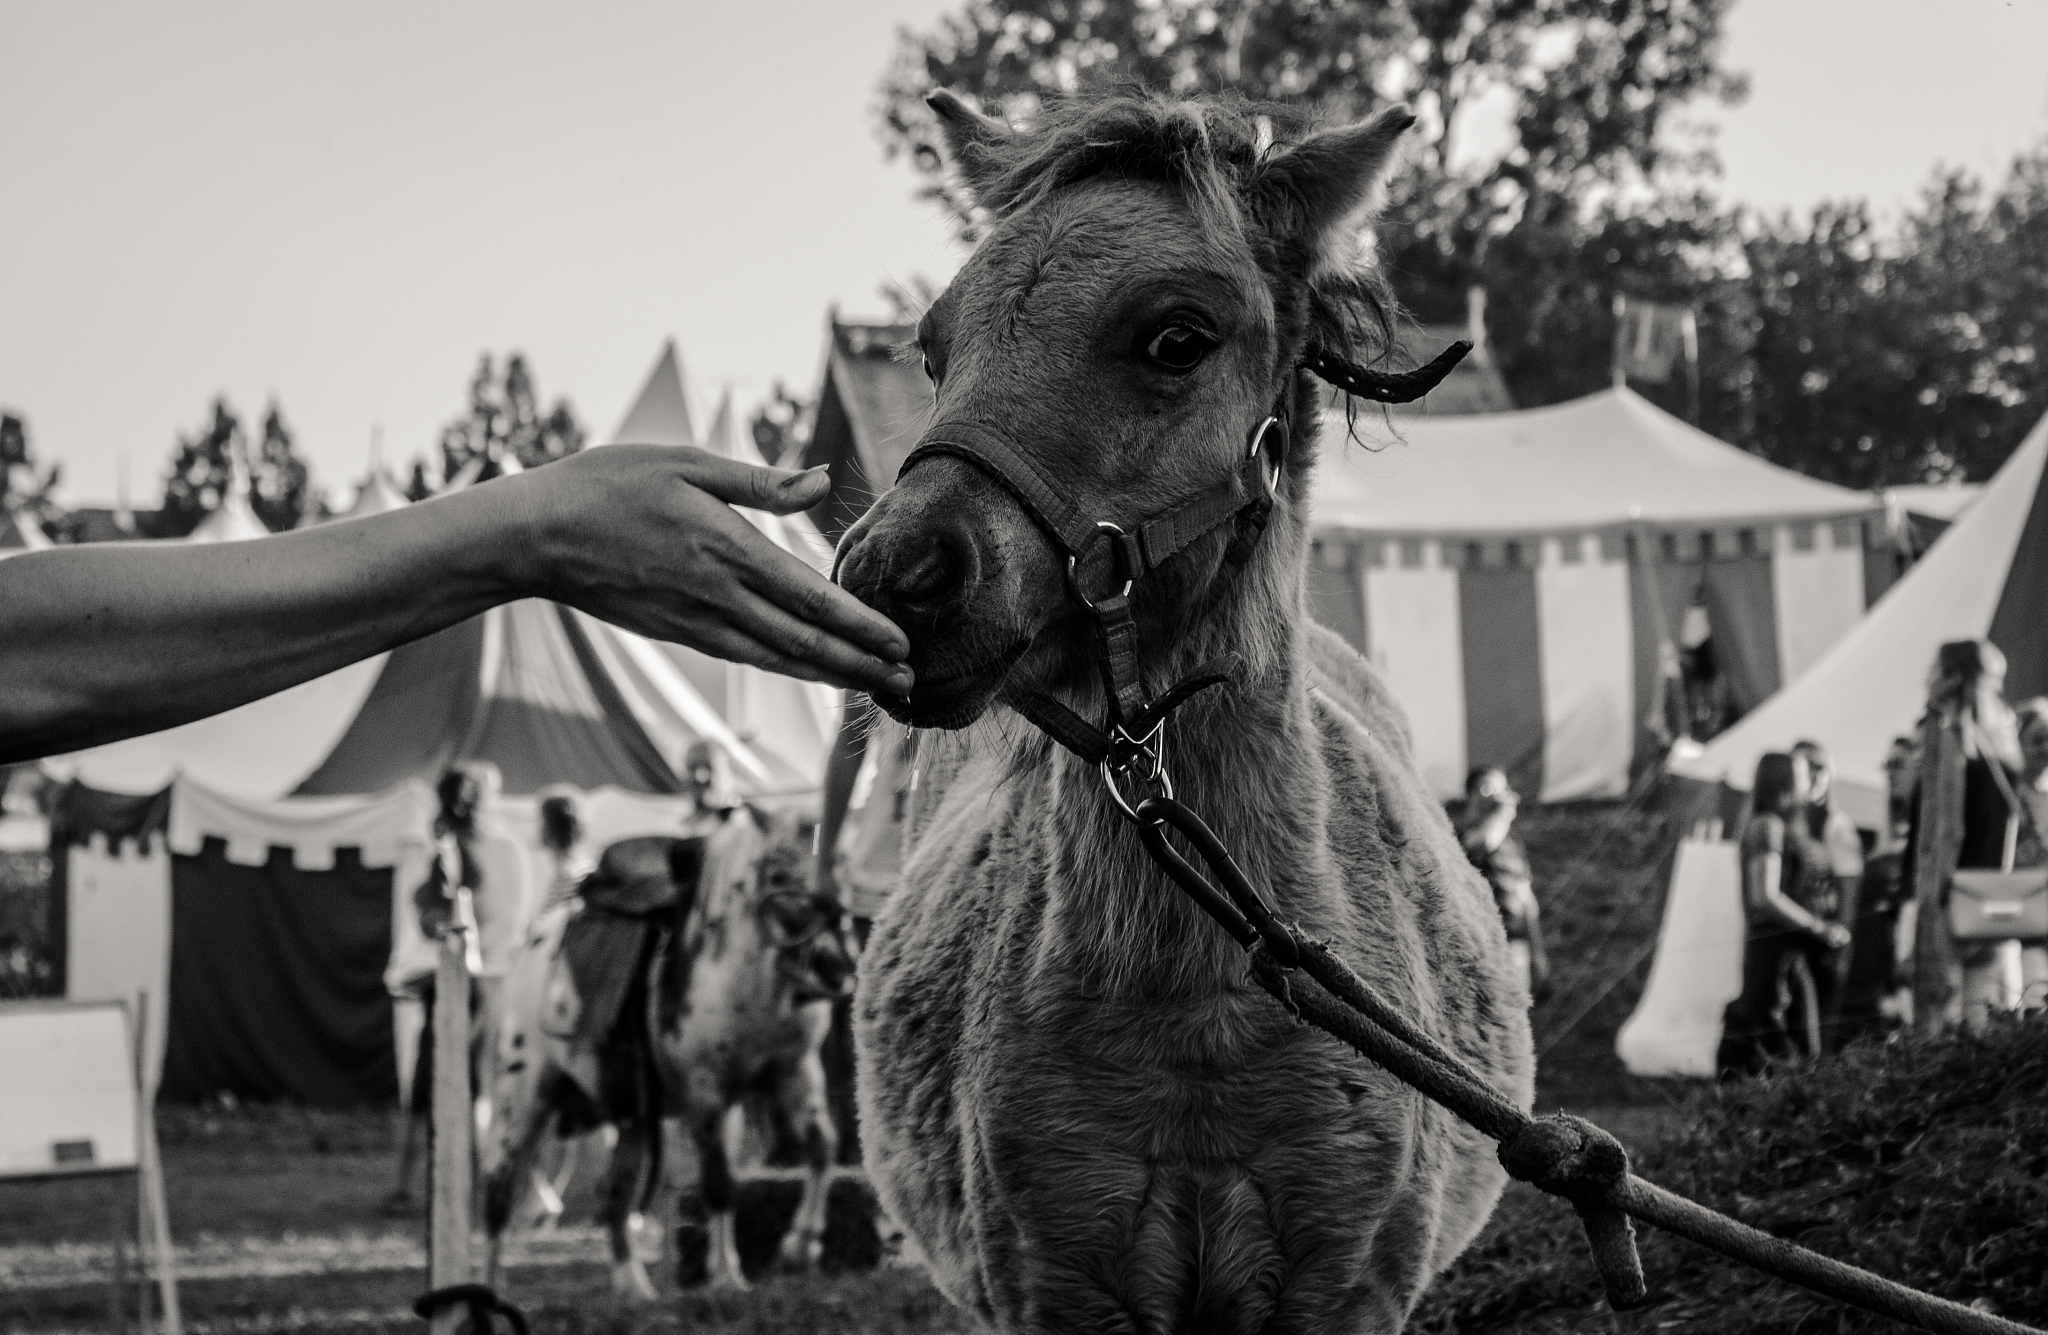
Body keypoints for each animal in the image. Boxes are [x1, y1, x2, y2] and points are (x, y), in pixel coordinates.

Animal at [481, 808, 855, 1300]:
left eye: (837, 870)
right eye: (777, 875)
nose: (836, 967)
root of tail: (532, 944)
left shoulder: (795, 1074)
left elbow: (822, 1149)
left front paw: (801, 1247)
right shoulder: (707, 1093)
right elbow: (719, 1182)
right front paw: (727, 1276)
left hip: (634, 1116)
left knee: (615, 1194)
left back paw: (635, 1287)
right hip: (523, 1095)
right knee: (499, 1188)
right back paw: (489, 1288)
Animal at [836, 90, 1535, 1334]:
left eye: (1175, 337)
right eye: (933, 347)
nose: (890, 576)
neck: (1198, 1014)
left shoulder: (1346, 1291)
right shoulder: (1054, 1291)